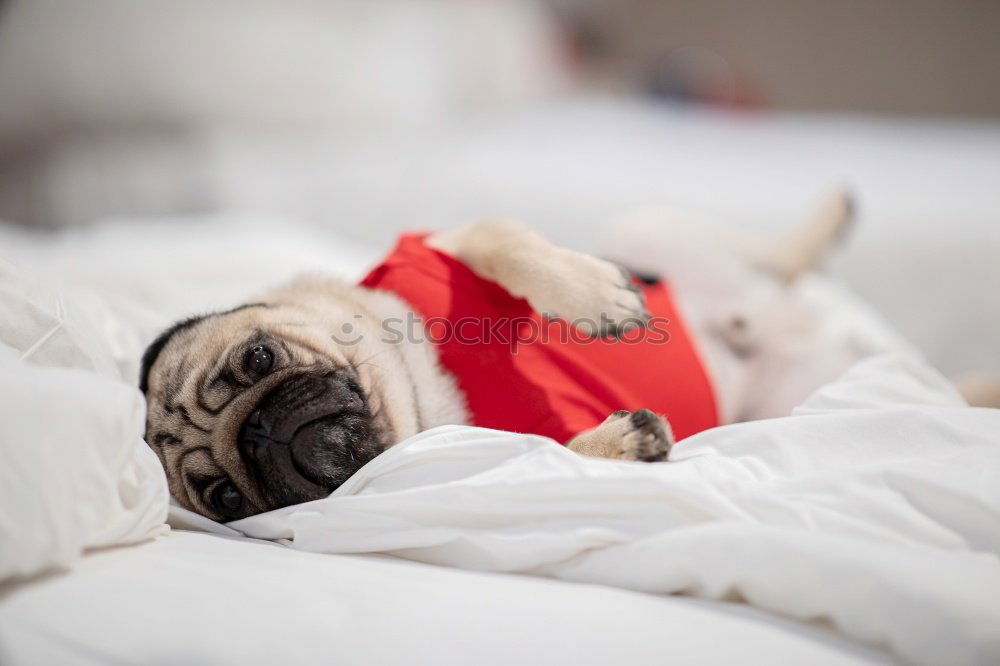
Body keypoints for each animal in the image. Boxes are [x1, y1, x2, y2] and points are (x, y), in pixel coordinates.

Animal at [141, 189, 860, 520]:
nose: (258, 431)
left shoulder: (451, 245)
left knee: (779, 254)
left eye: (258, 360)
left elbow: (503, 242)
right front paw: (622, 443)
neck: (423, 394)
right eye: (227, 498)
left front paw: (601, 301)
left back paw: (833, 213)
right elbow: (550, 453)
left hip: (652, 229)